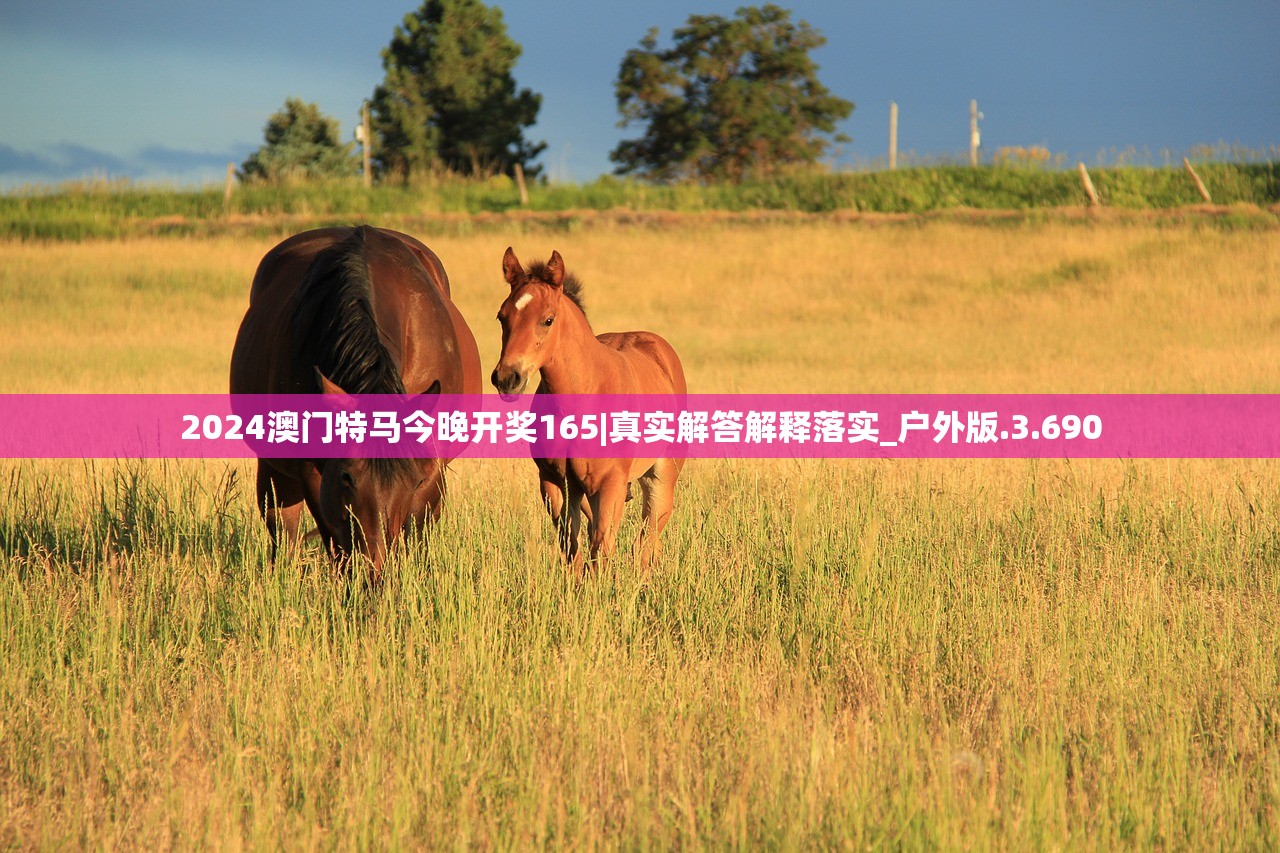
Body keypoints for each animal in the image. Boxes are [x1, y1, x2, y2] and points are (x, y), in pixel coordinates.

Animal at [230, 226, 481, 580]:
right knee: (283, 529)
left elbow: (414, 540)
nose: (375, 570)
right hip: (273, 465)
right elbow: (336, 543)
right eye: (348, 477)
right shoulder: (317, 474)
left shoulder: (431, 473)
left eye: (413, 480)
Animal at [491, 247, 686, 571]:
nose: (507, 378)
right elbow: (572, 549)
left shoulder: (610, 484)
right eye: (501, 316)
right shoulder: (555, 482)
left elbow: (601, 549)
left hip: (660, 478)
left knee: (646, 540)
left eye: (547, 319)